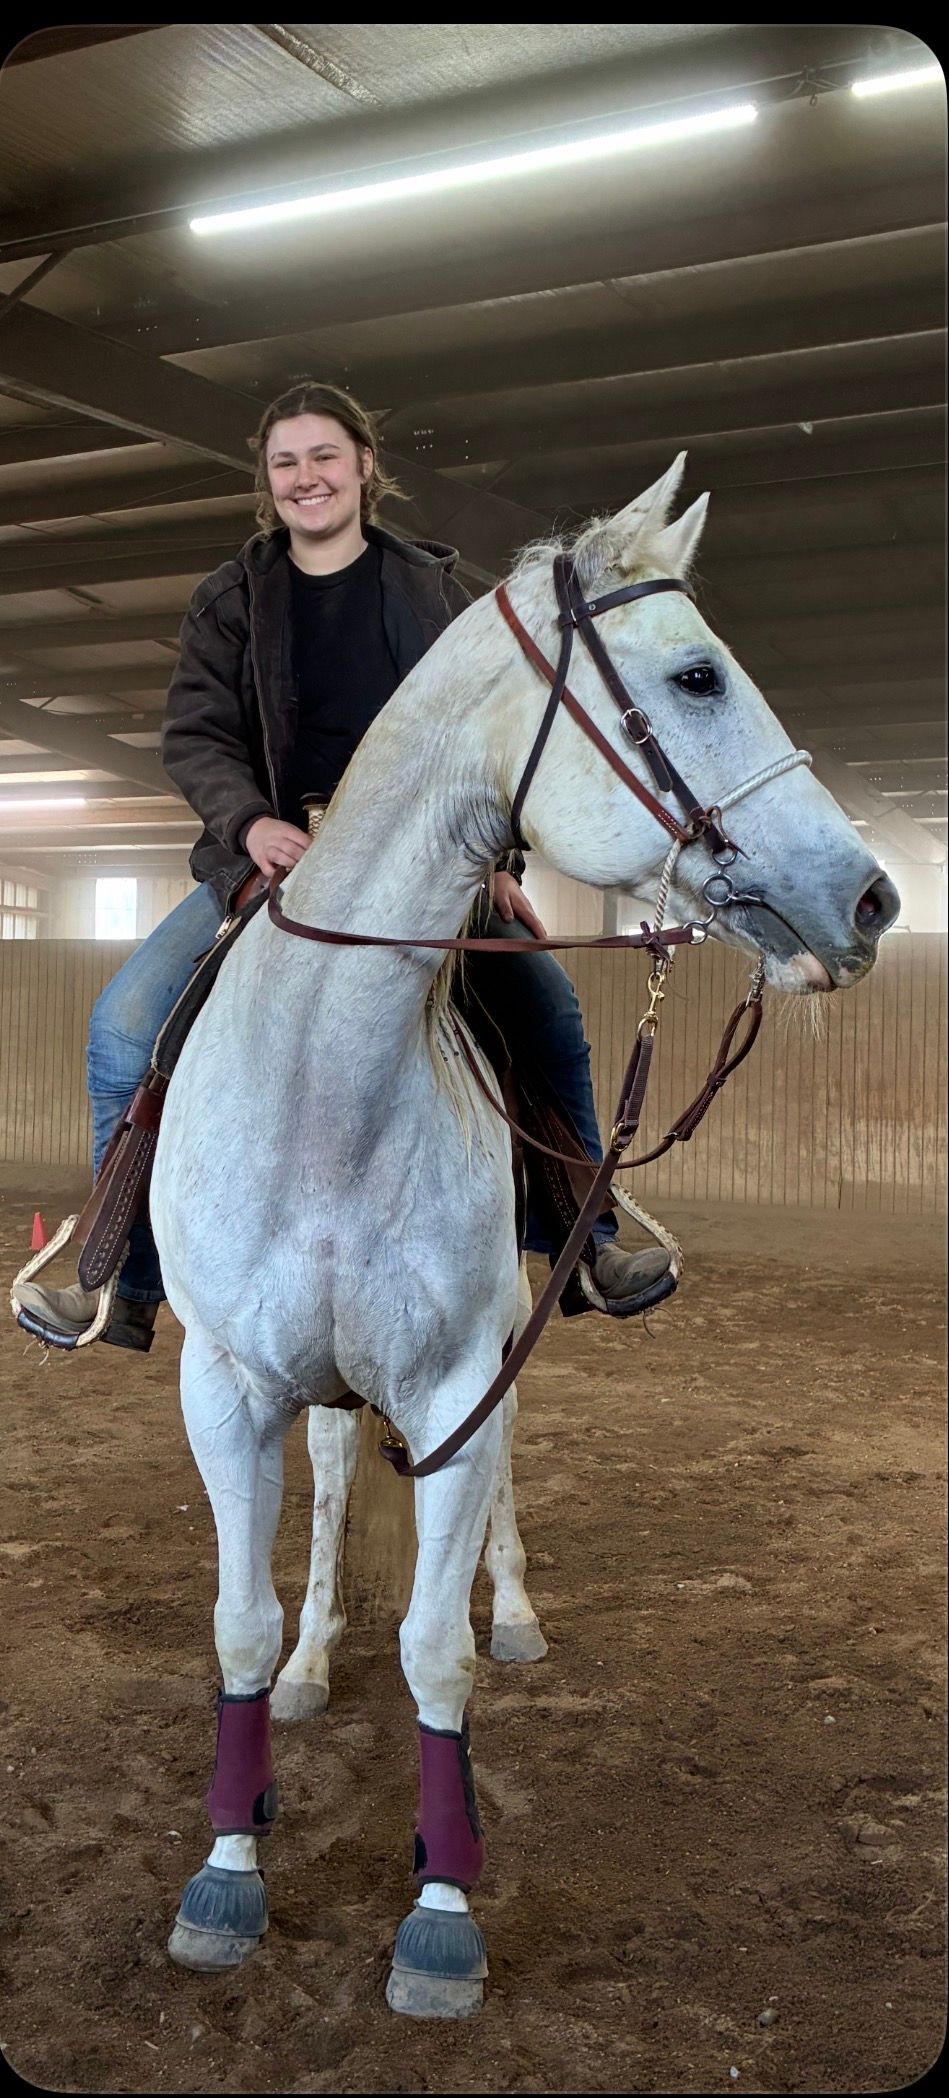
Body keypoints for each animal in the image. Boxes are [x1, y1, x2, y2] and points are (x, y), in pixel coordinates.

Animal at [149, 454, 897, 2013]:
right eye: (695, 673)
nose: (869, 895)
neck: (328, 1079)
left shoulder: (456, 1381)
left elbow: (437, 1654)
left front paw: (442, 1907)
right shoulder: (228, 1387)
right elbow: (237, 1625)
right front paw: (228, 1865)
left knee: (494, 1499)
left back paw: (517, 1611)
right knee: (330, 1480)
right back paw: (315, 1659)